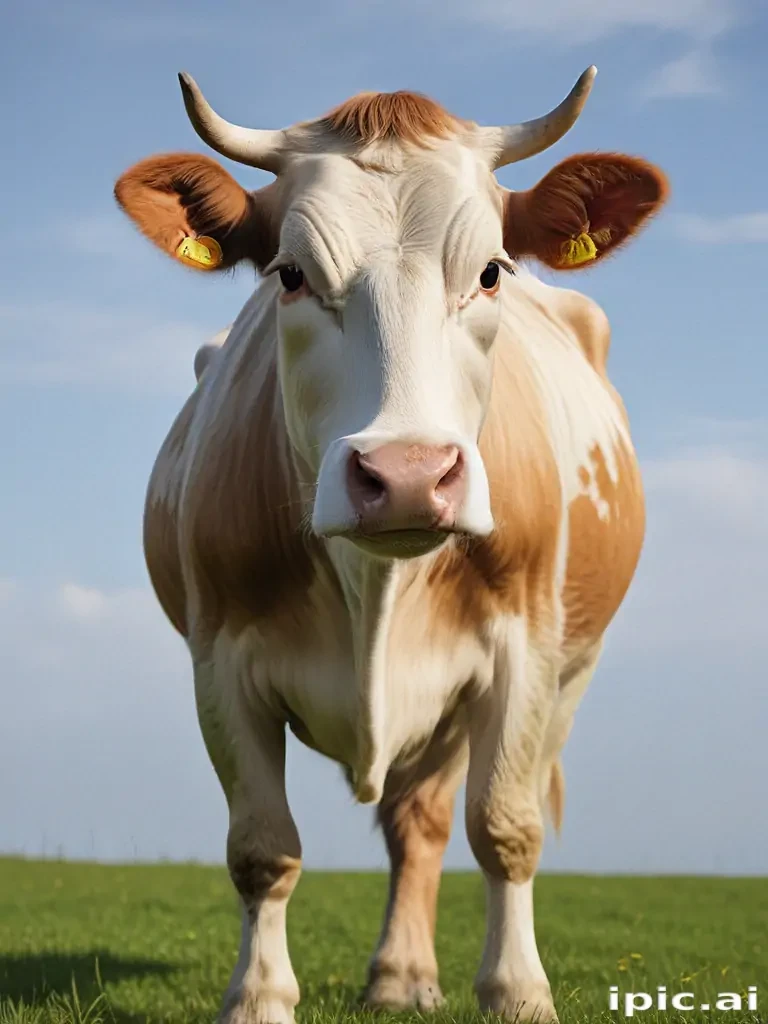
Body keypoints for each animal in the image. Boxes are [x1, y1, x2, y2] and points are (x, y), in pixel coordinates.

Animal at [114, 67, 668, 1024]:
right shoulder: (219, 661)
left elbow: (505, 827)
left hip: (565, 675)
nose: (408, 474)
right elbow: (262, 846)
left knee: (428, 820)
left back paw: (405, 975)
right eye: (291, 274)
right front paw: (258, 995)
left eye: (490, 271)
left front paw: (519, 990)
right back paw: (400, 974)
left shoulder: (522, 651)